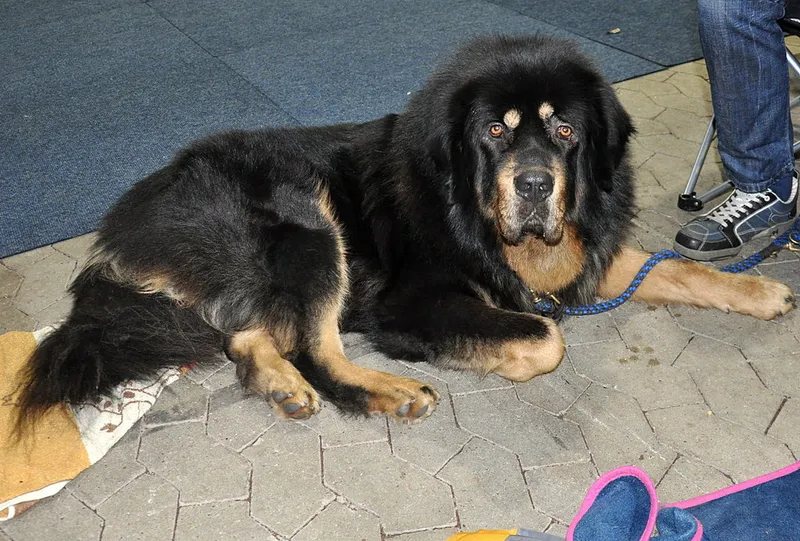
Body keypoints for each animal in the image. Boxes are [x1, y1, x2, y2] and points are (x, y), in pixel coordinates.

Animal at [16, 35, 795, 427]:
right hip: (311, 223)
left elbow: (670, 266)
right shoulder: (413, 300)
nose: (535, 186)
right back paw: (383, 390)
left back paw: (277, 384)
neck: (478, 215)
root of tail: (131, 217)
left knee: (249, 334)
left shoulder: (580, 252)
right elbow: (545, 336)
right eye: (494, 133)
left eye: (565, 131)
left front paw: (757, 291)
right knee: (316, 347)